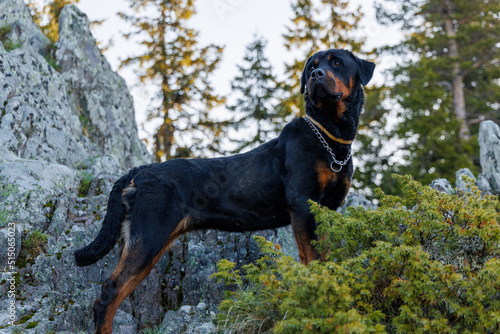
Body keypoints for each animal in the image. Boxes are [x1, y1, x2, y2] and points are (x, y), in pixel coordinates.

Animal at [75, 48, 376, 332]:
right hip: (150, 235)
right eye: (312, 67)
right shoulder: (303, 205)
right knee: (110, 292)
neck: (329, 136)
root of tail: (137, 172)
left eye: (336, 63)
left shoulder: (327, 209)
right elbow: (312, 258)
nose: (316, 75)